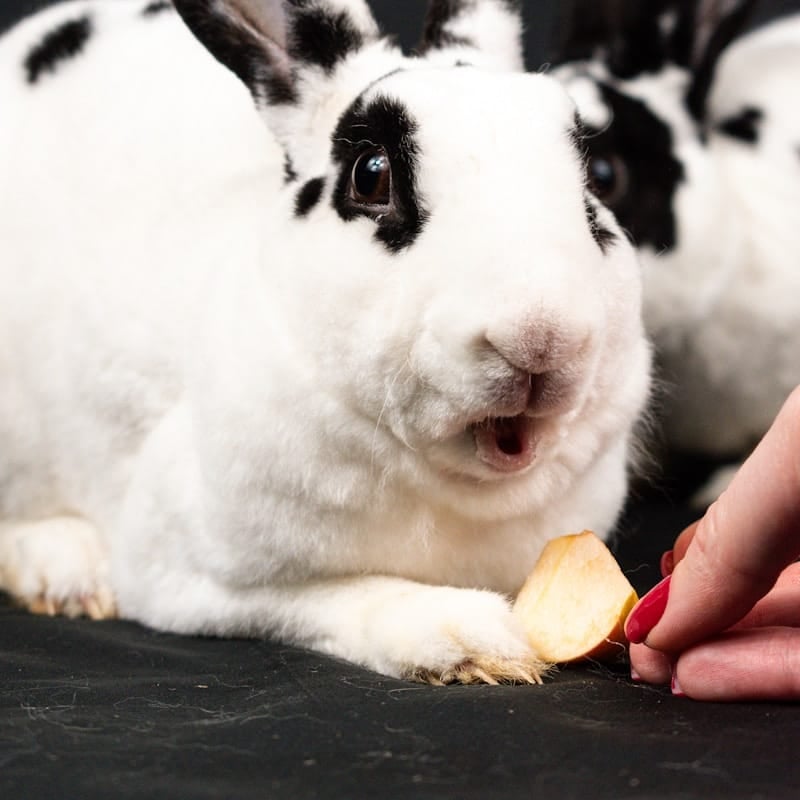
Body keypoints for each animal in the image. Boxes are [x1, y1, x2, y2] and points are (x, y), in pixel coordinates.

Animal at [0, 0, 651, 685]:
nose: (541, 335)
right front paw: (474, 642)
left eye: (590, 187)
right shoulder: (194, 578)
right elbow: (349, 595)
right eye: (372, 176)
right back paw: (67, 573)